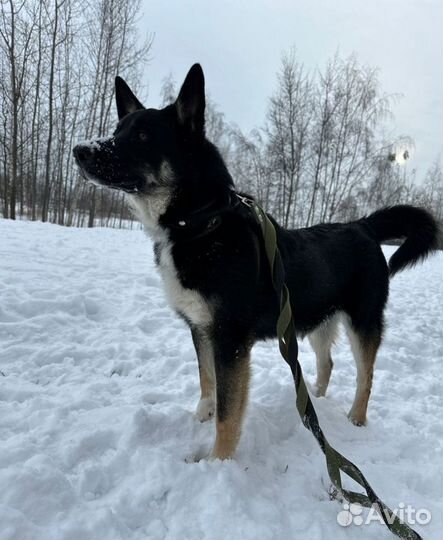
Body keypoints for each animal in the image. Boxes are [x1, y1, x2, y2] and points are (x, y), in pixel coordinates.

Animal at [73, 63, 440, 460]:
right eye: (116, 131)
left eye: (142, 136)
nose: (80, 151)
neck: (202, 224)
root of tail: (363, 225)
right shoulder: (201, 328)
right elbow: (207, 380)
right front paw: (202, 415)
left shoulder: (230, 338)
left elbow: (229, 412)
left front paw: (217, 461)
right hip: (318, 320)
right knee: (326, 363)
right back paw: (314, 405)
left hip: (363, 322)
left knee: (365, 376)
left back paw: (354, 419)